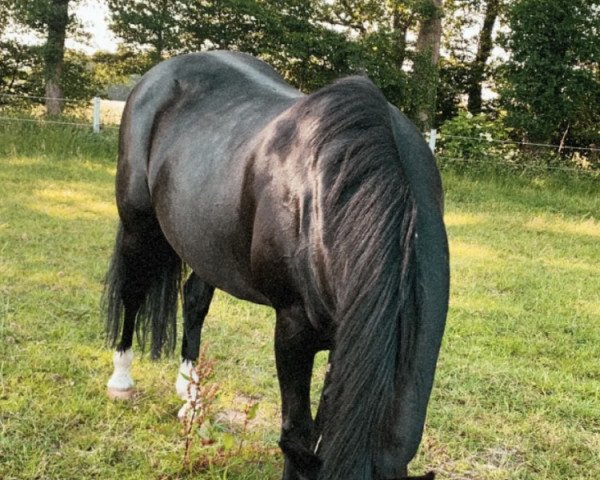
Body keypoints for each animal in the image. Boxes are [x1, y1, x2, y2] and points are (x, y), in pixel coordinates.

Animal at [104, 50, 450, 478]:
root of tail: (158, 75)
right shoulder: (293, 330)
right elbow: (297, 433)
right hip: (139, 226)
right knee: (132, 294)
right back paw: (121, 380)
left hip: (204, 243)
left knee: (194, 301)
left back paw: (191, 398)